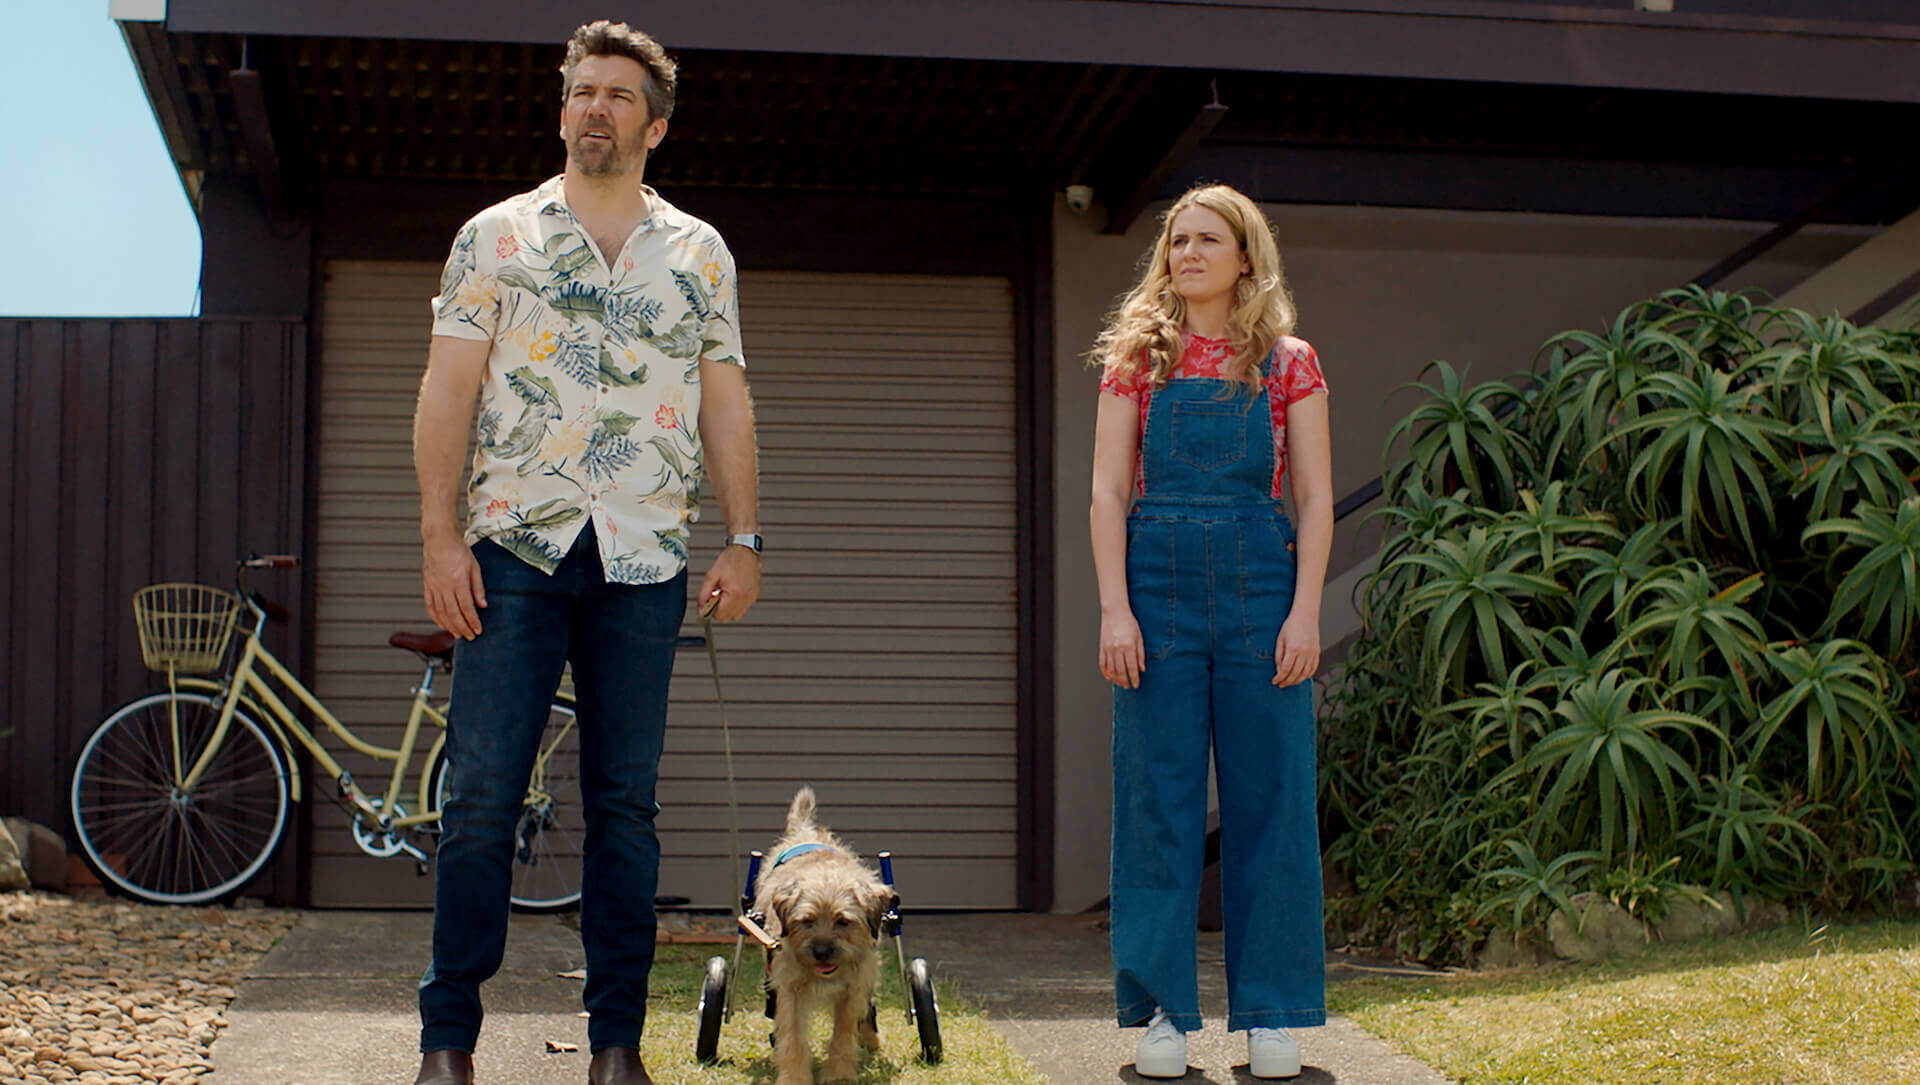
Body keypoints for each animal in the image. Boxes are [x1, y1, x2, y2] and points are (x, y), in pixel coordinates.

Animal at [752, 787, 894, 1083]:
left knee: (868, 1008)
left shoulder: (852, 988)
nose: (821, 952)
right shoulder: (789, 988)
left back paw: (871, 1039)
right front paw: (795, 1077)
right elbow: (793, 1036)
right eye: (806, 921)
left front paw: (838, 1074)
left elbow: (843, 1033)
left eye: (843, 921)